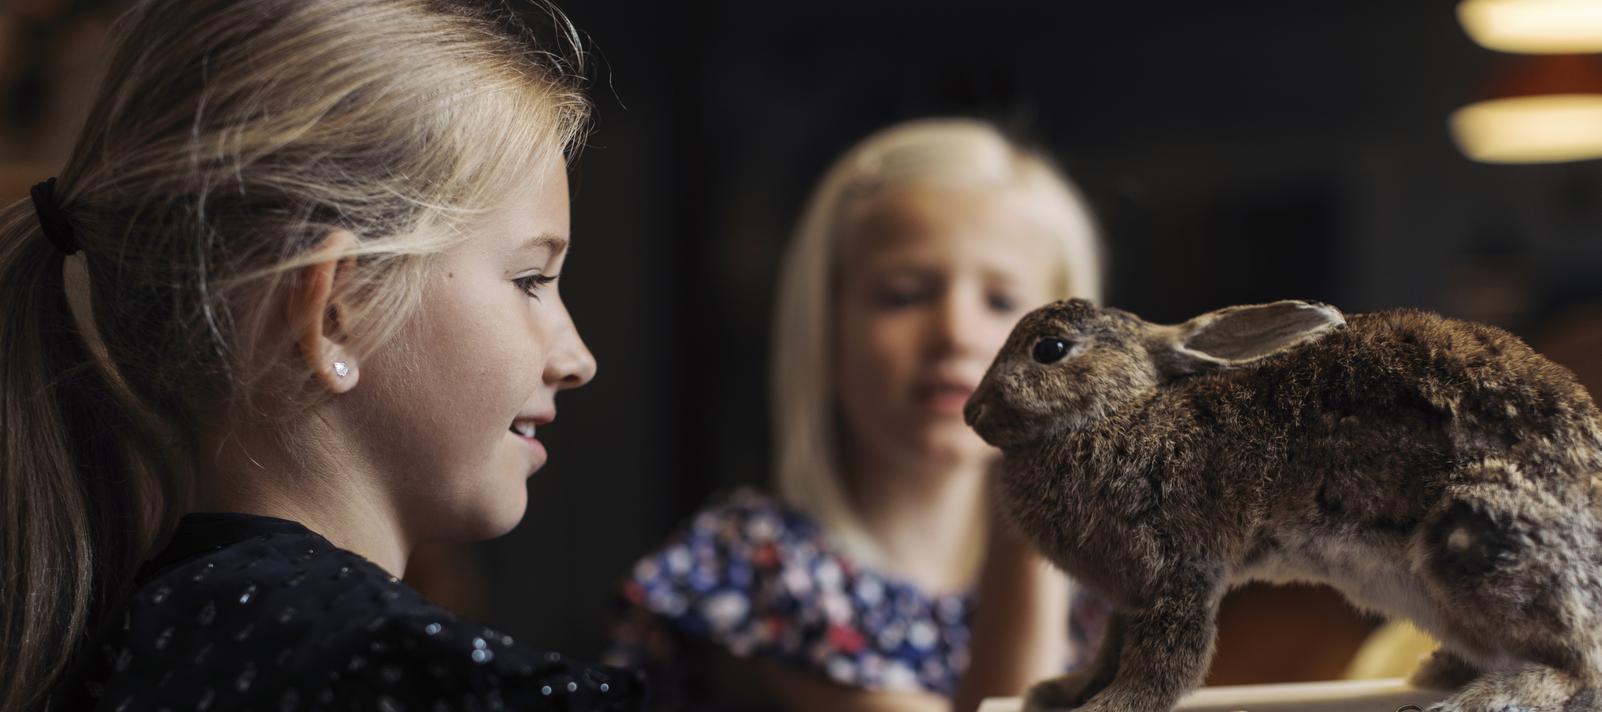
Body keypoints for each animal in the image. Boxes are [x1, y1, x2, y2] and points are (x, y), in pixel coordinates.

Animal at [961, 298, 1602, 712]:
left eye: (1050, 349)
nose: (971, 412)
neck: (1117, 412)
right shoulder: (1127, 596)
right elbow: (1108, 651)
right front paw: (1061, 694)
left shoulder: (1176, 574)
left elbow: (1165, 660)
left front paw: (1109, 707)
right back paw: (1443, 671)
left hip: (1474, 535)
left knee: (1581, 667)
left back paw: (1477, 700)